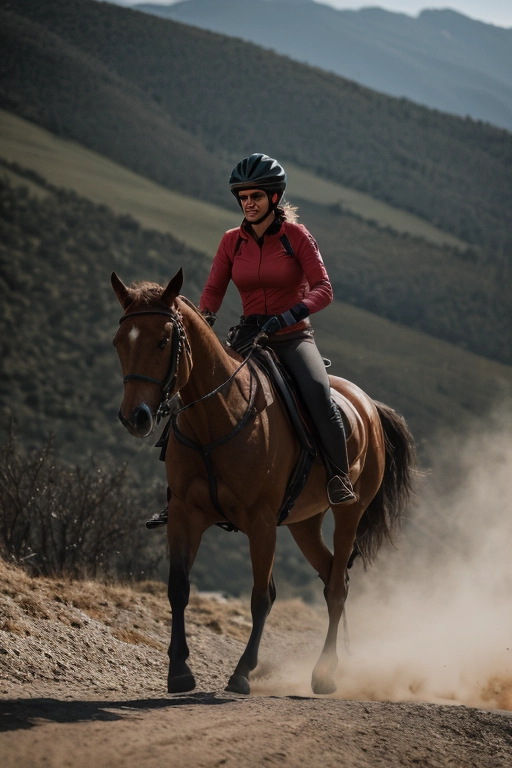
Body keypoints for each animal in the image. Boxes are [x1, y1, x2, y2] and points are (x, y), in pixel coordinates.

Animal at [112, 270, 416, 696]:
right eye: (119, 342)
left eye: (163, 340)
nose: (135, 417)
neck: (217, 417)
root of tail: (370, 406)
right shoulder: (184, 515)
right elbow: (178, 587)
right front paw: (179, 671)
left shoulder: (260, 522)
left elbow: (261, 597)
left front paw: (241, 673)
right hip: (304, 523)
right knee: (332, 577)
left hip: (349, 513)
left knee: (337, 587)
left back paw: (324, 674)